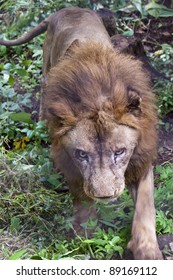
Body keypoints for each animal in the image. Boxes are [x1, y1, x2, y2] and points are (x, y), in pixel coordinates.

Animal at [0, 6, 163, 260]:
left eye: (120, 152)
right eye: (82, 155)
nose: (105, 196)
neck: (97, 99)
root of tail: (69, 8)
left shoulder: (141, 158)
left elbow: (146, 206)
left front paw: (147, 250)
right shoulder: (69, 162)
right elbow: (84, 202)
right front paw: (85, 238)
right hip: (47, 61)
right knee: (43, 83)